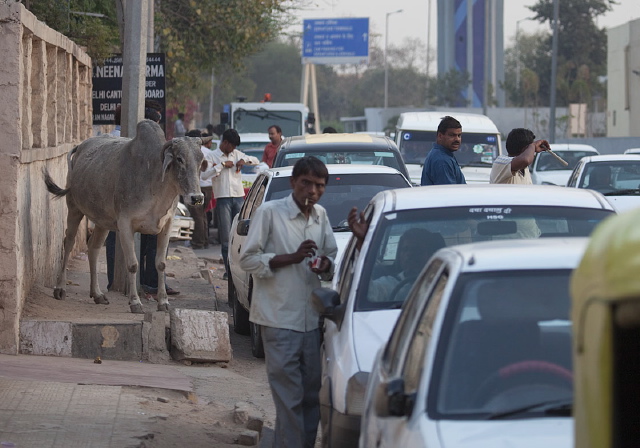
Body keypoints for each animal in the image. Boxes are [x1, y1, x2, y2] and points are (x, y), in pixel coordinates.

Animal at [45, 121, 210, 314]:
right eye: (179, 159)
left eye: (200, 160)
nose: (197, 198)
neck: (155, 184)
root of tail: (80, 147)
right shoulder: (125, 224)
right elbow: (132, 265)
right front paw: (135, 302)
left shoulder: (167, 225)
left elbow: (161, 263)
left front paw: (163, 302)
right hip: (74, 208)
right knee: (68, 243)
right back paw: (60, 288)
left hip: (102, 221)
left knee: (93, 248)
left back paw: (97, 294)